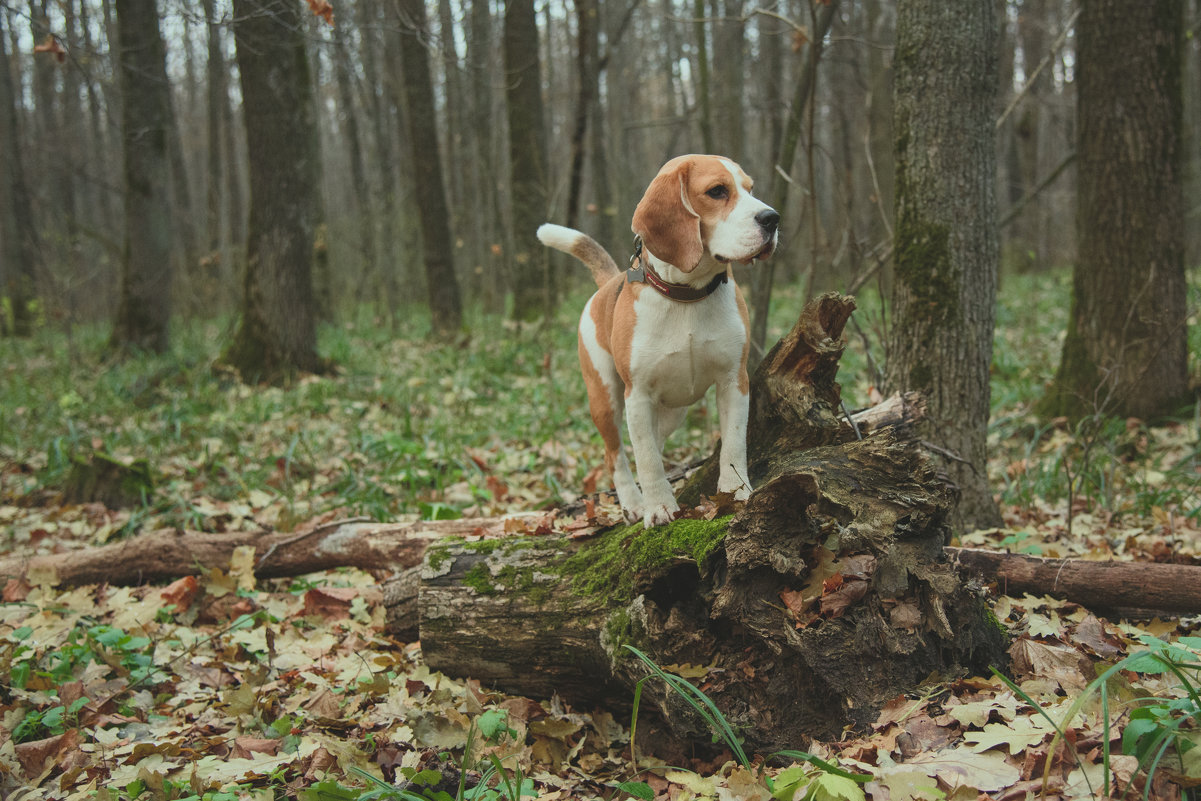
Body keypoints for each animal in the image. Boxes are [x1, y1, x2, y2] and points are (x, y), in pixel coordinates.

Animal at [538, 154, 778, 528]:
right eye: (717, 191)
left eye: (750, 189)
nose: (772, 218)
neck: (688, 296)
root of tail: (608, 283)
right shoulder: (637, 395)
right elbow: (646, 458)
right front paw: (659, 507)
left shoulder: (733, 381)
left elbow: (734, 442)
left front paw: (736, 491)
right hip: (605, 398)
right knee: (616, 456)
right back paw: (634, 503)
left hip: (672, 411)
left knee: (653, 441)